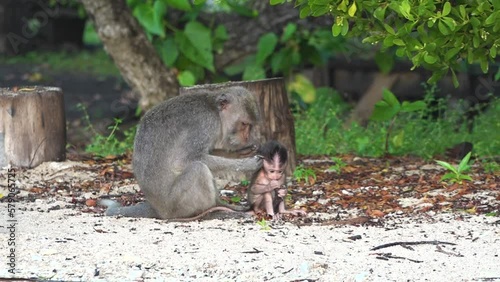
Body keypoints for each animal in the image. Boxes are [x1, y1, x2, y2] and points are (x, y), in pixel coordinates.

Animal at [104, 87, 264, 219]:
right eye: (244, 124)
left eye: (250, 126)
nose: (246, 137)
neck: (214, 109)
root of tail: (159, 210)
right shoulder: (205, 123)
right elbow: (185, 160)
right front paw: (247, 165)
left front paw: (241, 153)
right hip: (177, 203)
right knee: (198, 169)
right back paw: (214, 208)